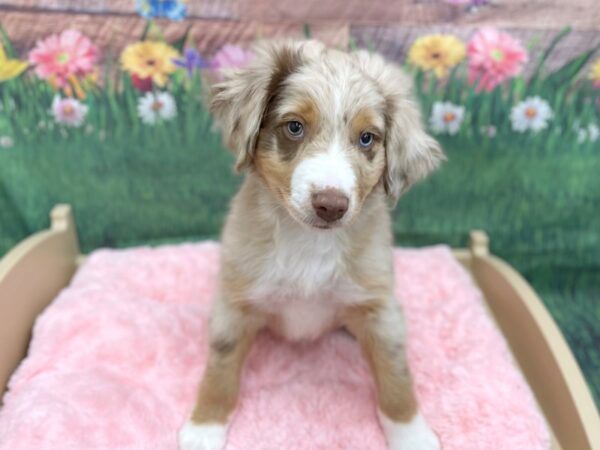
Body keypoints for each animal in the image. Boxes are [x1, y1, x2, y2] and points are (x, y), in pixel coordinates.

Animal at [178, 39, 446, 450]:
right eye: (294, 127)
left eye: (366, 138)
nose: (331, 205)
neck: (308, 241)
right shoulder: (234, 302)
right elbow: (221, 367)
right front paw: (205, 426)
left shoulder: (380, 308)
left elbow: (396, 375)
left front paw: (411, 433)